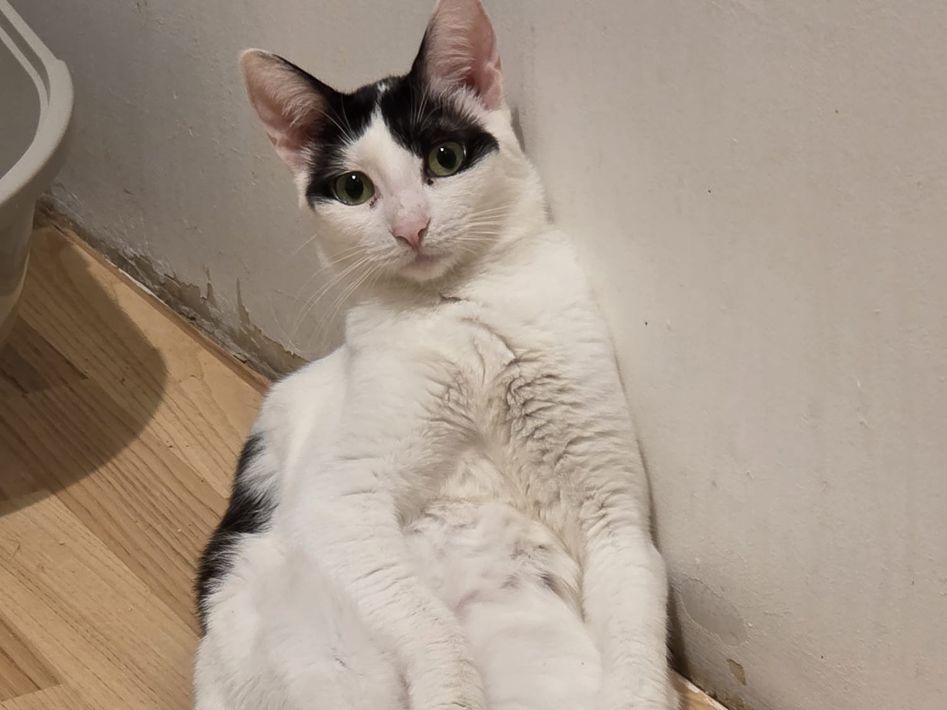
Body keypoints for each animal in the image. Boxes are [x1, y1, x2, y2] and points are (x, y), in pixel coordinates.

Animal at [194, 1, 677, 709]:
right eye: (354, 188)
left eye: (444, 158)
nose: (410, 227)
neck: (459, 309)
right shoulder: (340, 505)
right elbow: (431, 630)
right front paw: (454, 688)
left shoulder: (614, 517)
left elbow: (637, 650)